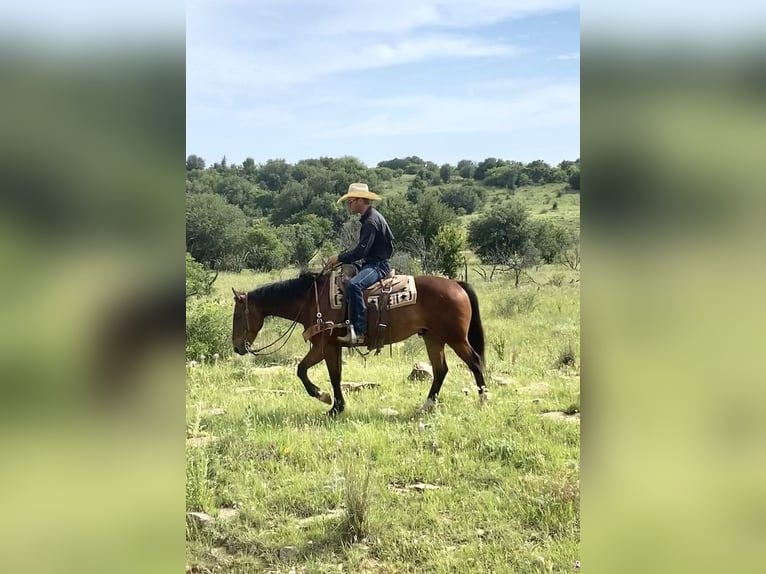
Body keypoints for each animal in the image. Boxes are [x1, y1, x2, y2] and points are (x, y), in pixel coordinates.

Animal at [231, 272, 488, 416]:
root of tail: (457, 284)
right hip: (433, 338)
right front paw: (336, 405)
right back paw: (426, 406)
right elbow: (332, 376)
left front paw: (326, 400)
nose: (237, 347)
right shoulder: (332, 348)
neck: (311, 301)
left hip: (455, 338)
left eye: (238, 316)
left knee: (475, 363)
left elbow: (307, 371)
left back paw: (483, 399)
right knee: (440, 369)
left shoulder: (323, 347)